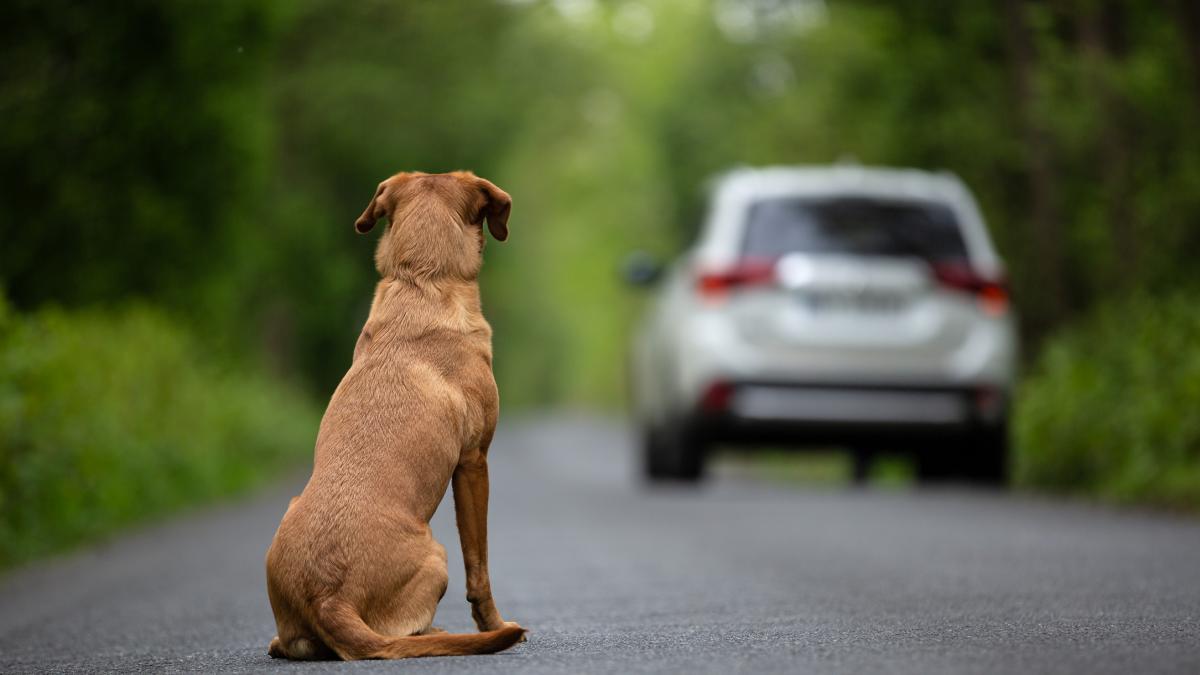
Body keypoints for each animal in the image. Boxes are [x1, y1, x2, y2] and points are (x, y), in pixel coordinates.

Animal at [267, 168, 525, 658]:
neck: (422, 279)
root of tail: (328, 597)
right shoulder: (474, 462)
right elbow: (479, 567)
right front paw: (494, 624)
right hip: (438, 555)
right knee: (406, 633)